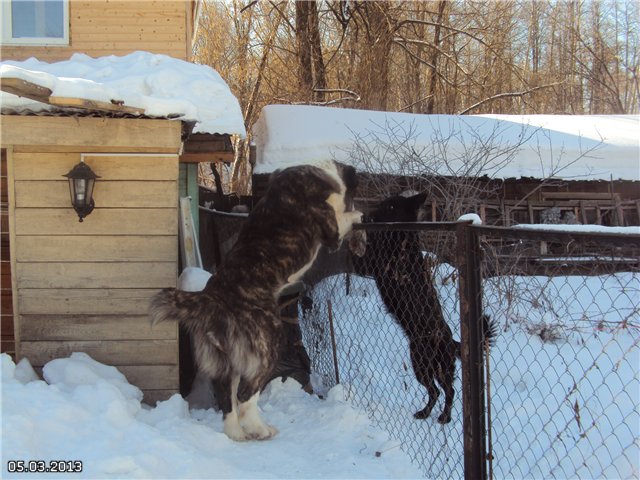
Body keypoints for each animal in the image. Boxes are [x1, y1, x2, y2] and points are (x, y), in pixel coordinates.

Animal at [148, 162, 362, 442]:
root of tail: (212, 298)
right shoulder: (332, 232)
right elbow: (345, 218)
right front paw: (358, 215)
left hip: (228, 362)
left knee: (228, 399)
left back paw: (237, 434)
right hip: (268, 346)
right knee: (245, 396)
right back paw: (260, 429)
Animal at [350, 191, 496, 424]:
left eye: (390, 206)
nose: (368, 215)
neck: (401, 236)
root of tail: (451, 341)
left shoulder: (373, 263)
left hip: (431, 367)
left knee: (447, 391)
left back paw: (444, 417)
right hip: (427, 367)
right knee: (436, 392)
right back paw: (425, 412)